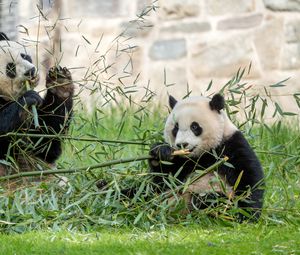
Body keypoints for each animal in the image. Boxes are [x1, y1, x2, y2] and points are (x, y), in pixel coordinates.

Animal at [0, 32, 74, 176]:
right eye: (10, 68)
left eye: (24, 55)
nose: (30, 71)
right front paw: (27, 99)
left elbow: (44, 142)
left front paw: (60, 84)